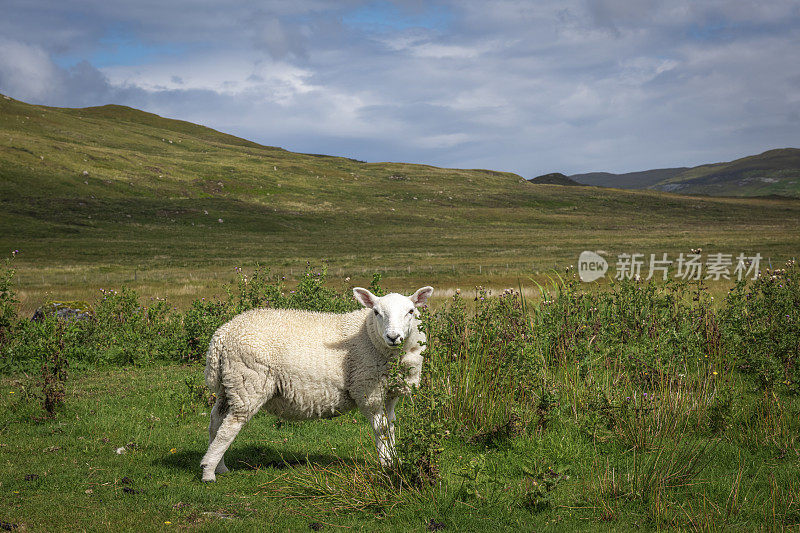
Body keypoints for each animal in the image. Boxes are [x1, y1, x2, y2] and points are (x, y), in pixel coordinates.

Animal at [202, 284, 438, 480]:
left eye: (411, 311)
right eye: (377, 312)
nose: (393, 337)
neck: (369, 335)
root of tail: (222, 334)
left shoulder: (390, 393)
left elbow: (390, 427)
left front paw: (394, 461)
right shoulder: (367, 389)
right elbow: (380, 430)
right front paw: (387, 464)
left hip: (229, 383)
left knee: (216, 421)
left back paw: (219, 466)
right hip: (249, 381)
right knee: (229, 427)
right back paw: (208, 473)